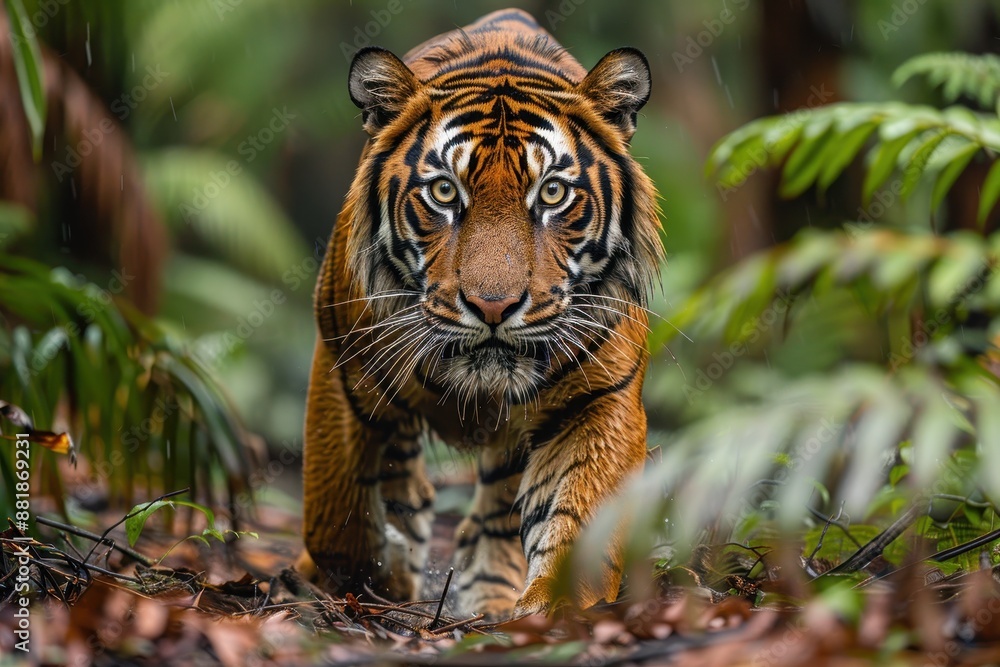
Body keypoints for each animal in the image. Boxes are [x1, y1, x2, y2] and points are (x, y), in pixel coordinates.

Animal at [298, 8, 662, 619]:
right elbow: (338, 520)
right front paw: (365, 582)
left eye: (553, 193)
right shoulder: (343, 371)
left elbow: (578, 521)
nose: (494, 306)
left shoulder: (597, 398)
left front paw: (551, 611)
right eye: (445, 192)